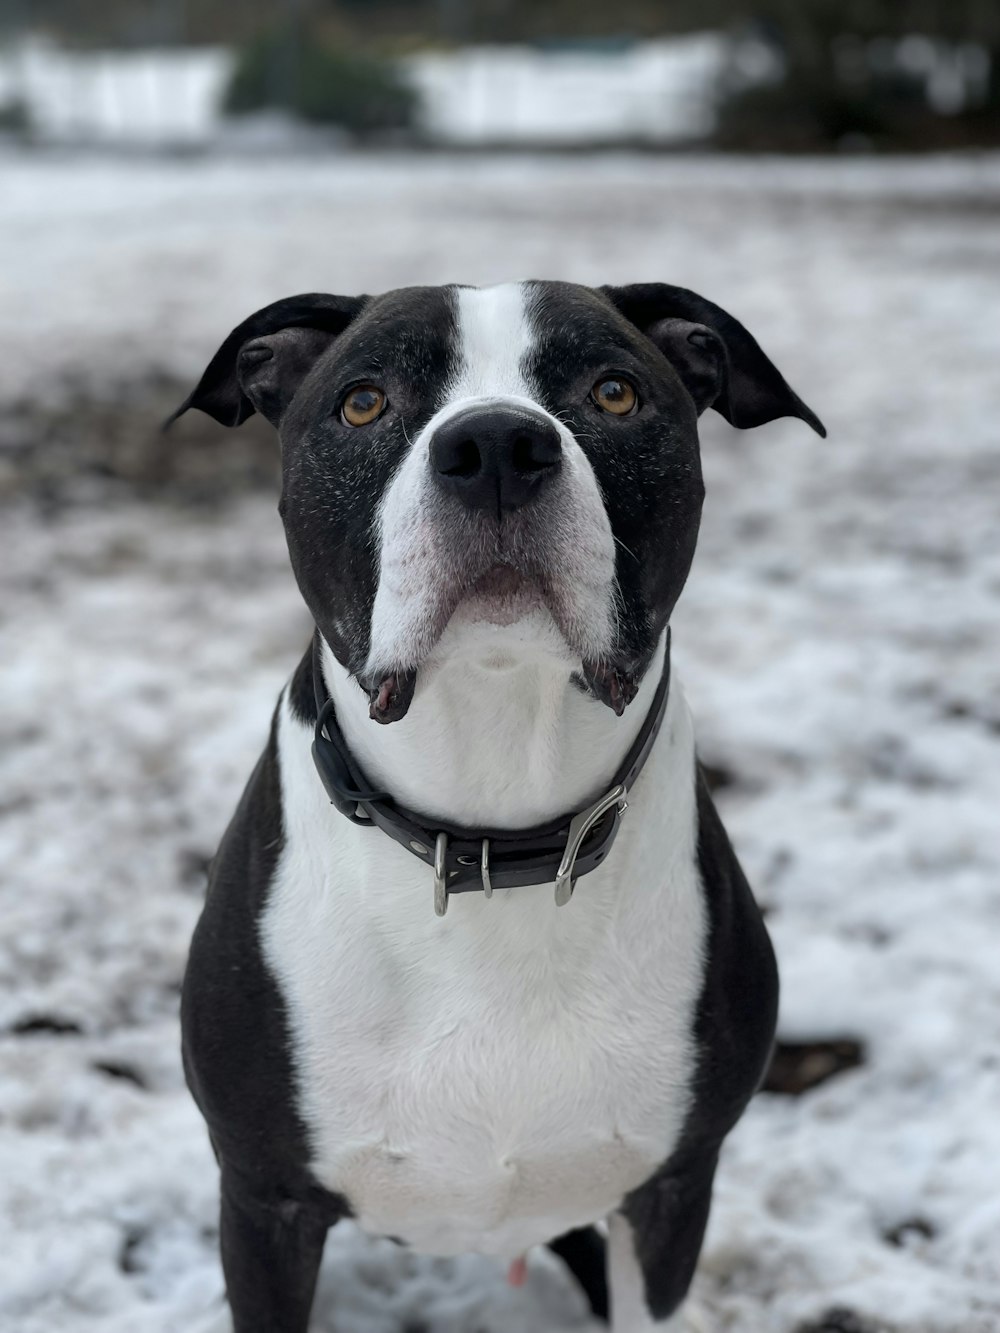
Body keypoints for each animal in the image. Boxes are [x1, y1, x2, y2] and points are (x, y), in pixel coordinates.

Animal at [172, 275, 826, 1327]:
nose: (494, 448)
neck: (492, 837)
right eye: (364, 402)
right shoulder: (266, 1202)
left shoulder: (671, 1192)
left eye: (613, 392)